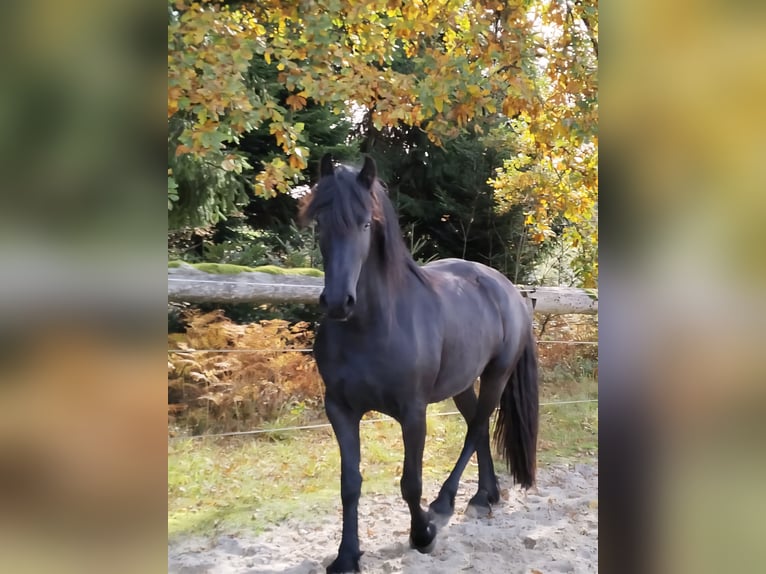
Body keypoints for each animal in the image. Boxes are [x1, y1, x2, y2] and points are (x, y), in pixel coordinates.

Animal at [299, 154, 539, 573]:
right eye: (320, 223)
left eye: (365, 222)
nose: (338, 302)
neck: (373, 326)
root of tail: (507, 288)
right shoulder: (340, 410)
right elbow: (350, 484)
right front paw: (347, 555)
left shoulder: (413, 412)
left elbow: (411, 482)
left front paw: (422, 534)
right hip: (463, 383)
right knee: (476, 427)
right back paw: (484, 496)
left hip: (497, 375)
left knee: (476, 430)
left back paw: (445, 505)